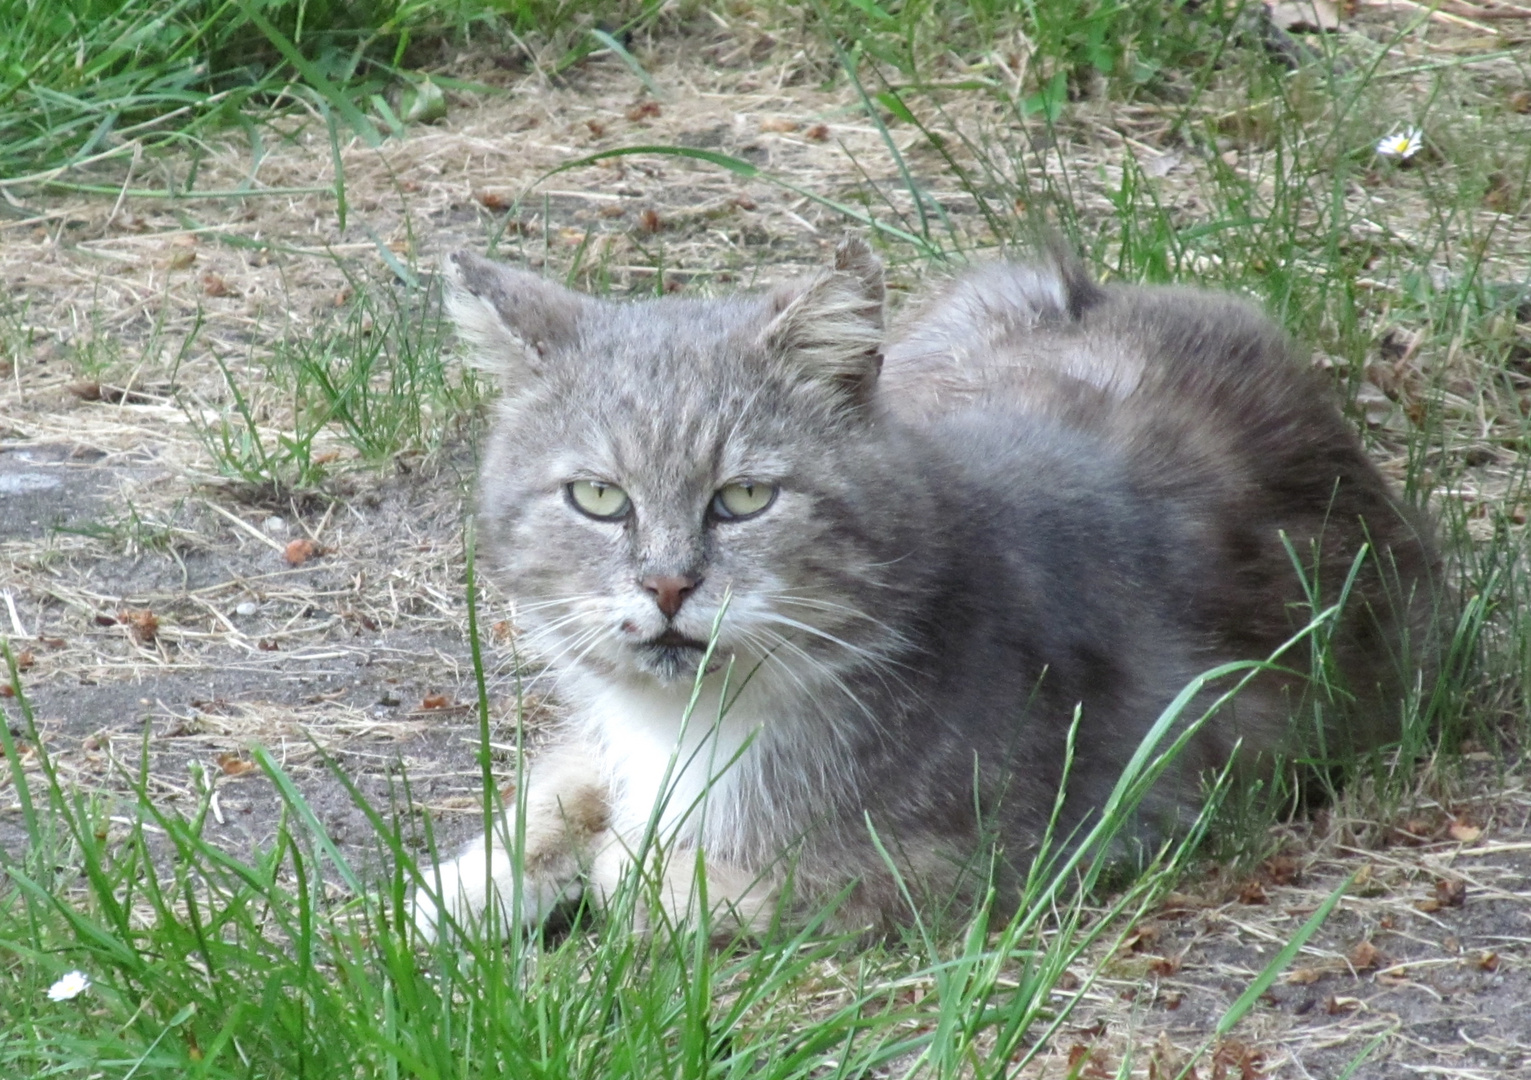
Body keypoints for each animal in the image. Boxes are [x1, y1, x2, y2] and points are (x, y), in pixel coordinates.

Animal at [413, 240, 1439, 937]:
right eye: (597, 497)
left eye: (744, 498)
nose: (668, 585)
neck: (688, 724)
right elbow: (563, 786)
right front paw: (459, 886)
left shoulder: (1054, 835)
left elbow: (728, 879)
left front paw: (632, 868)